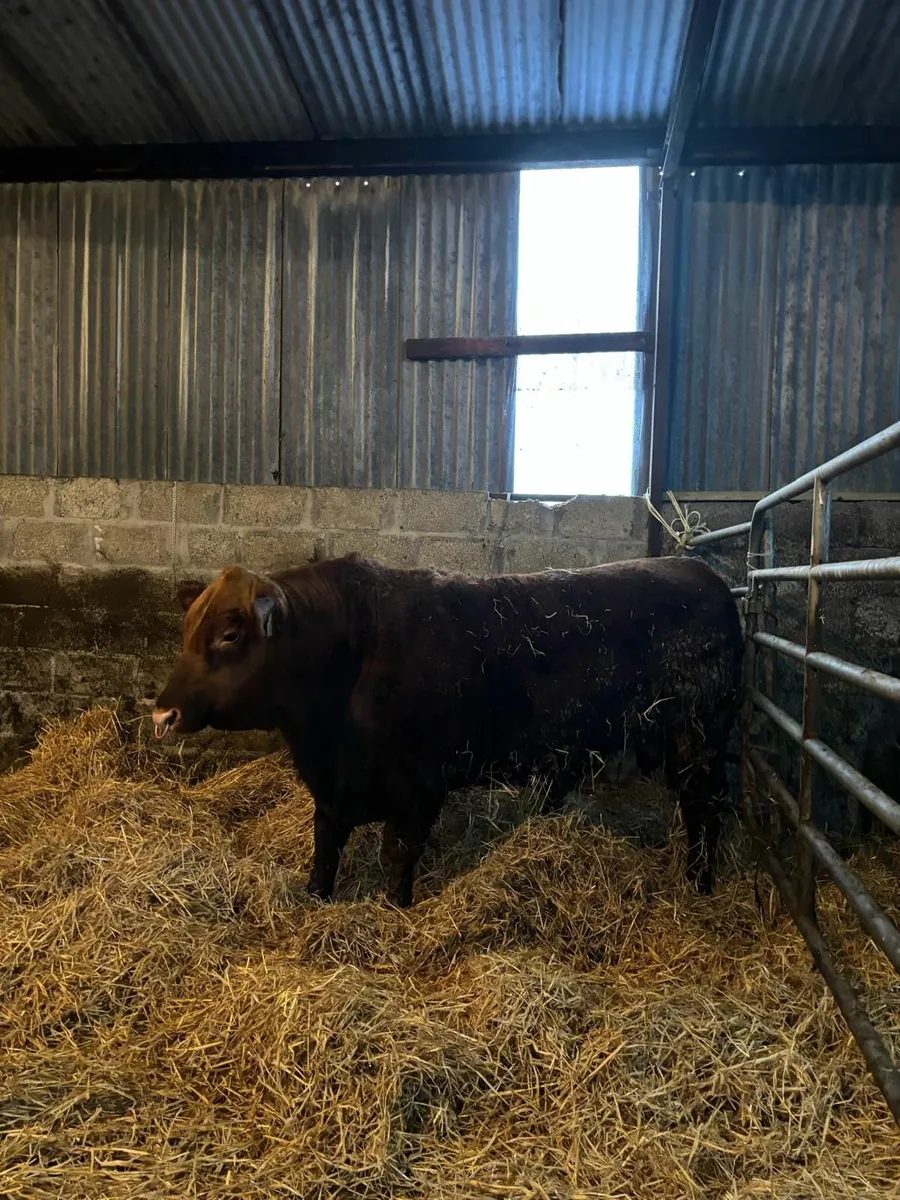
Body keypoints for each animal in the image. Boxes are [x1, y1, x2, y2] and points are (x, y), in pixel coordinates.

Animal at [153, 554, 743, 907]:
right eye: (186, 629)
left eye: (230, 634)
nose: (163, 715)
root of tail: (699, 569)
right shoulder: (334, 788)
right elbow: (325, 846)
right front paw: (317, 896)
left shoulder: (418, 785)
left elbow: (398, 853)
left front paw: (395, 908)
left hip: (699, 742)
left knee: (703, 811)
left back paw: (699, 884)